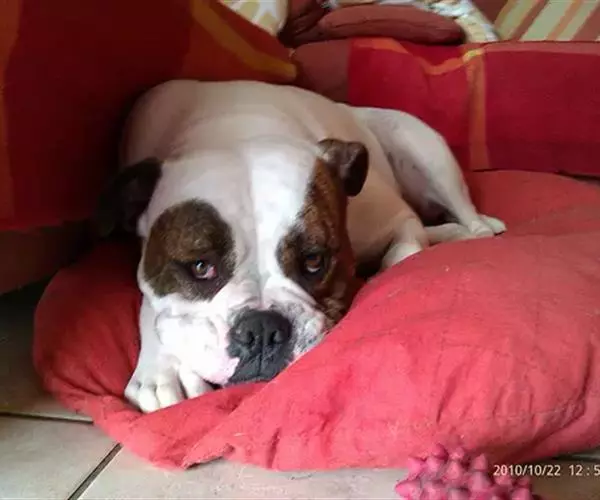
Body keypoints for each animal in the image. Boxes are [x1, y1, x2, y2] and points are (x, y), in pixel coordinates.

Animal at [97, 80, 505, 413]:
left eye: (313, 261)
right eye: (200, 267)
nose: (261, 329)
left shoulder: (397, 220)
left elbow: (405, 254)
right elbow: (151, 305)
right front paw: (160, 369)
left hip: (419, 145)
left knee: (466, 217)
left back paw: (472, 230)